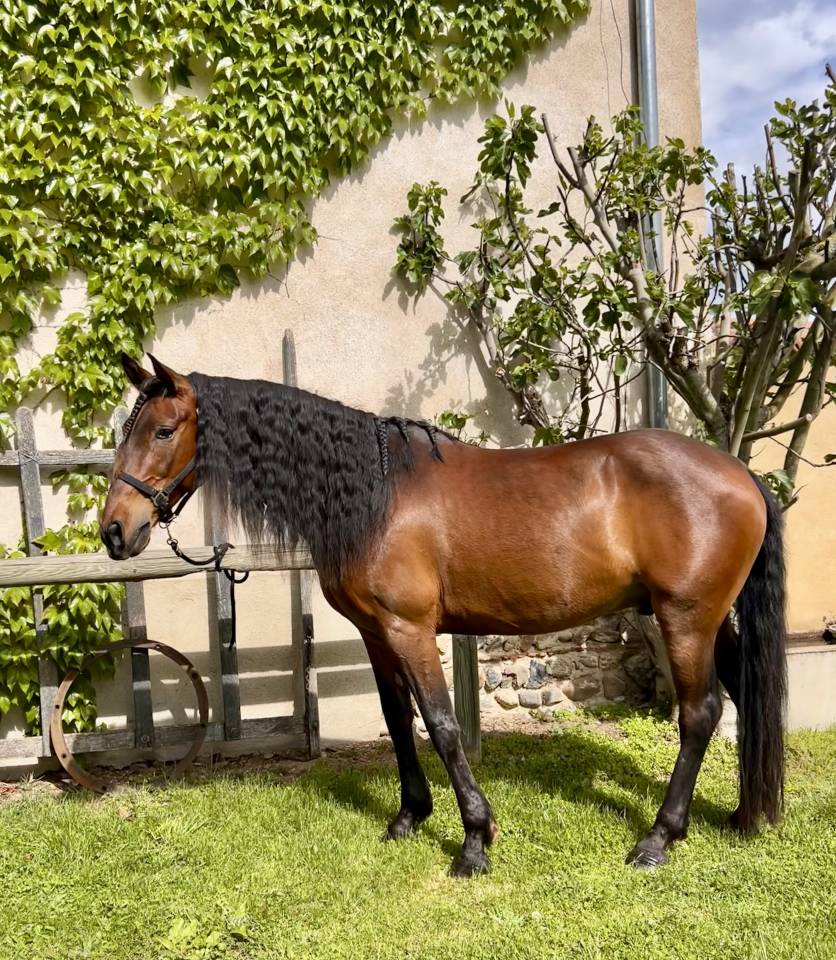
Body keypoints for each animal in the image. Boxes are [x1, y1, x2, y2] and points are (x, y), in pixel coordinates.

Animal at [101, 353, 787, 876]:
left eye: (162, 431)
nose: (114, 531)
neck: (377, 493)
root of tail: (742, 475)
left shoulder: (411, 630)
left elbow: (442, 724)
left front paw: (475, 842)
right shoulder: (376, 633)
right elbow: (398, 719)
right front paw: (409, 815)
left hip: (686, 618)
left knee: (700, 713)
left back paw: (658, 839)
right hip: (709, 621)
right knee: (741, 695)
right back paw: (741, 815)